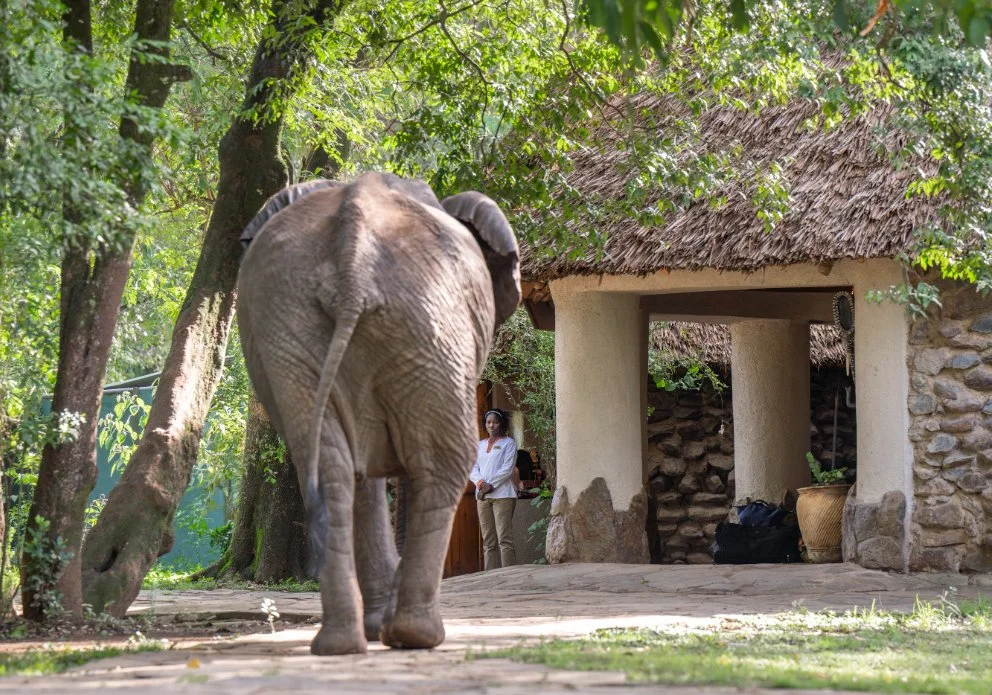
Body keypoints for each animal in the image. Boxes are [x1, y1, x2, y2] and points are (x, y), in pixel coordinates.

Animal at [236, 172, 521, 655]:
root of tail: (352, 259)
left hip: (296, 319)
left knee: (330, 466)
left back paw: (341, 643)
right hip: (426, 319)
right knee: (443, 461)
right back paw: (415, 636)